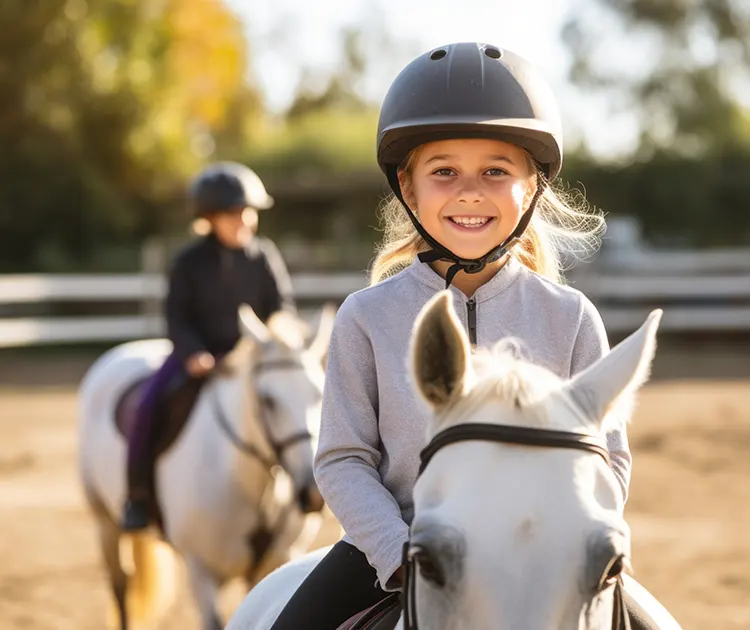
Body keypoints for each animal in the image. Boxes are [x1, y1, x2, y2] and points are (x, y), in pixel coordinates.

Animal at [78, 304, 336, 628]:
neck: (245, 480)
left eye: (319, 393)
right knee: (121, 584)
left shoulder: (274, 565)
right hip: (105, 521)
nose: (312, 494)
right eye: (267, 400)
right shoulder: (200, 570)